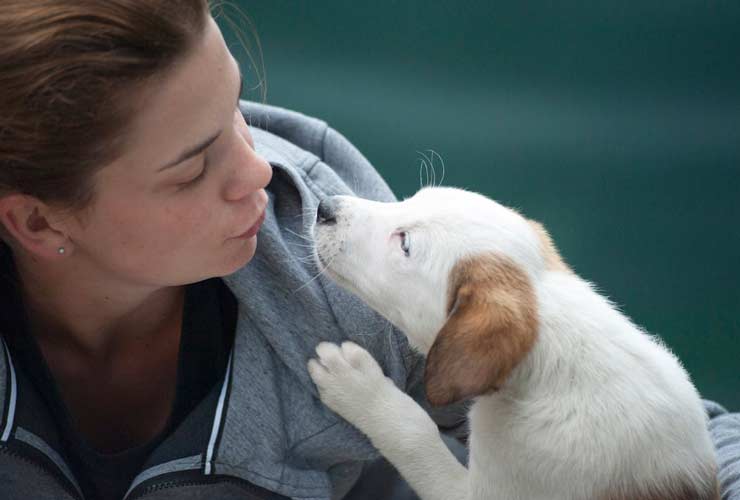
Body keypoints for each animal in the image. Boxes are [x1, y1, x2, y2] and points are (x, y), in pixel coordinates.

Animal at [306, 187, 716, 500]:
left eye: (404, 243)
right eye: (411, 198)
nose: (325, 207)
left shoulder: (480, 492)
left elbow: (414, 432)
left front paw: (357, 386)